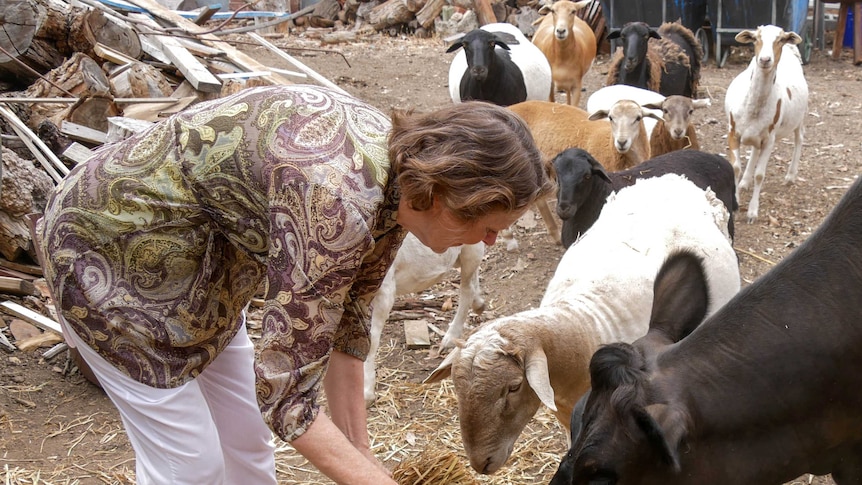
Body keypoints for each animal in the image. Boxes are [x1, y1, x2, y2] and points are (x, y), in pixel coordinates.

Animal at [364, 233, 486, 404]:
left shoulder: (383, 288)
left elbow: (371, 339)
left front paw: (366, 393)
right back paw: (479, 304)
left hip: (471, 245)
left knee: (467, 288)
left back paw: (450, 338)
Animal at [728, 24, 808, 223]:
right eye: (756, 38)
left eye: (780, 40)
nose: (765, 59)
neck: (753, 106)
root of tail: (791, 50)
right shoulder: (733, 132)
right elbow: (736, 167)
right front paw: (736, 200)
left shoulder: (769, 140)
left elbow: (760, 175)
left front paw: (752, 212)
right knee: (754, 151)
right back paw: (744, 182)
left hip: (800, 117)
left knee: (799, 139)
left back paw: (790, 175)